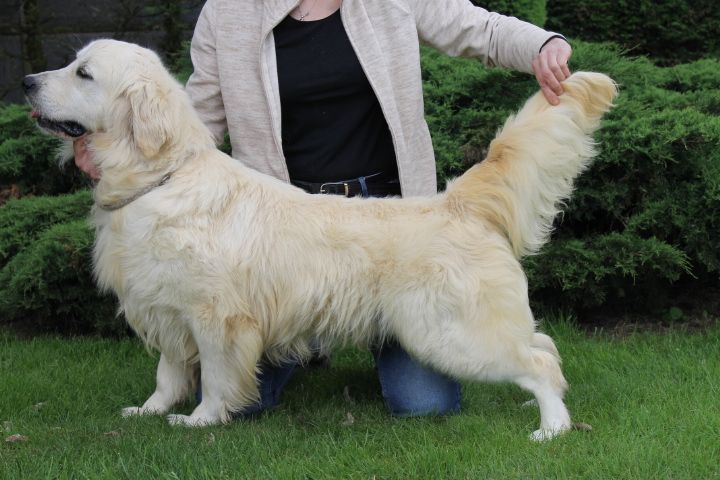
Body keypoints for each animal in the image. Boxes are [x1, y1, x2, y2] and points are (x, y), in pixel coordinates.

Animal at [25, 39, 616, 440]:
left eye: (84, 73)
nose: (27, 81)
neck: (160, 178)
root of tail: (457, 201)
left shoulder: (218, 317)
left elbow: (213, 376)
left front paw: (200, 420)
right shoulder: (165, 306)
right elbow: (168, 371)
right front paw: (150, 410)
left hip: (448, 333)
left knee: (538, 361)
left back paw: (552, 428)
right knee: (543, 345)